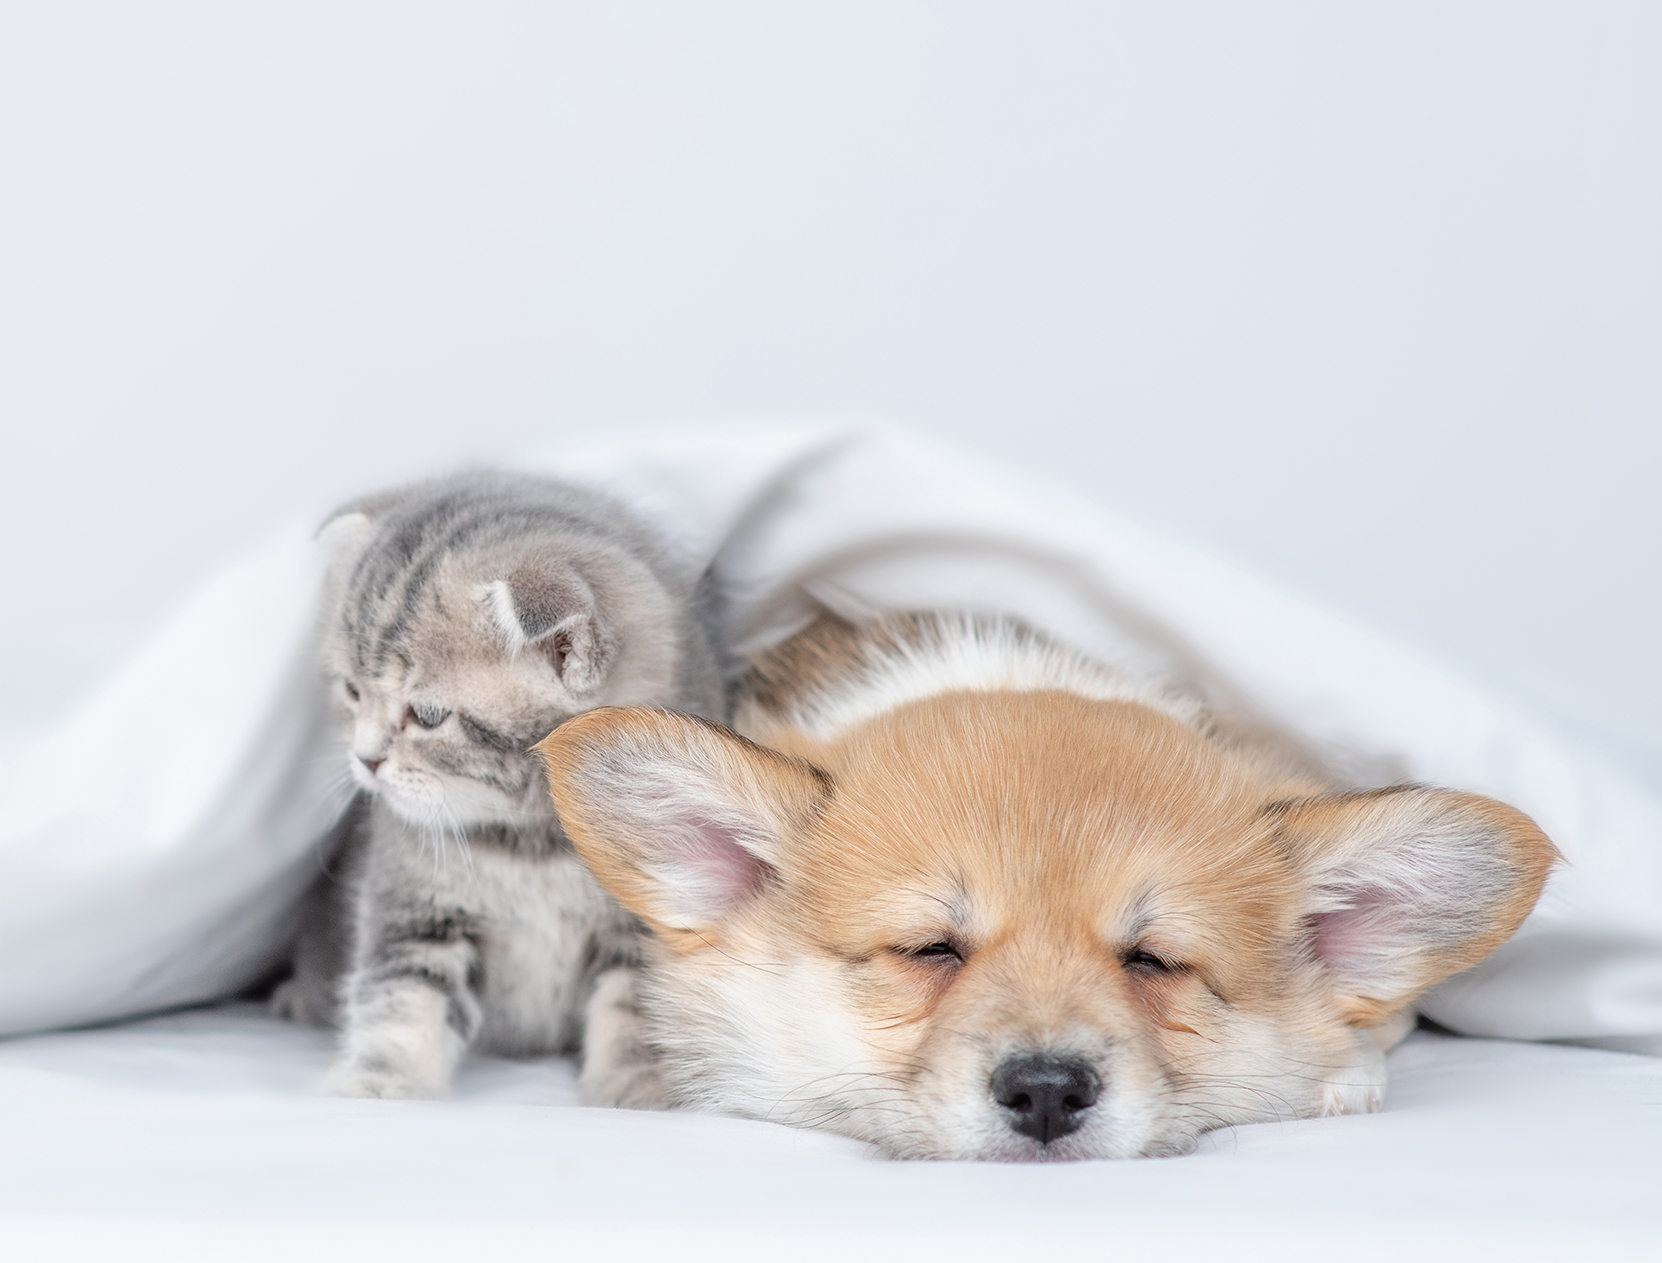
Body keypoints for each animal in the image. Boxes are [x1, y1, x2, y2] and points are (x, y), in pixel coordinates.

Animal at [272, 468, 721, 1103]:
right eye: (353, 692)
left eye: (428, 716)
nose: (365, 759)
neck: (534, 846)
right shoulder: (415, 902)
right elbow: (402, 997)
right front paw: (378, 1083)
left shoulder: (651, 916)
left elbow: (640, 1007)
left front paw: (641, 1089)